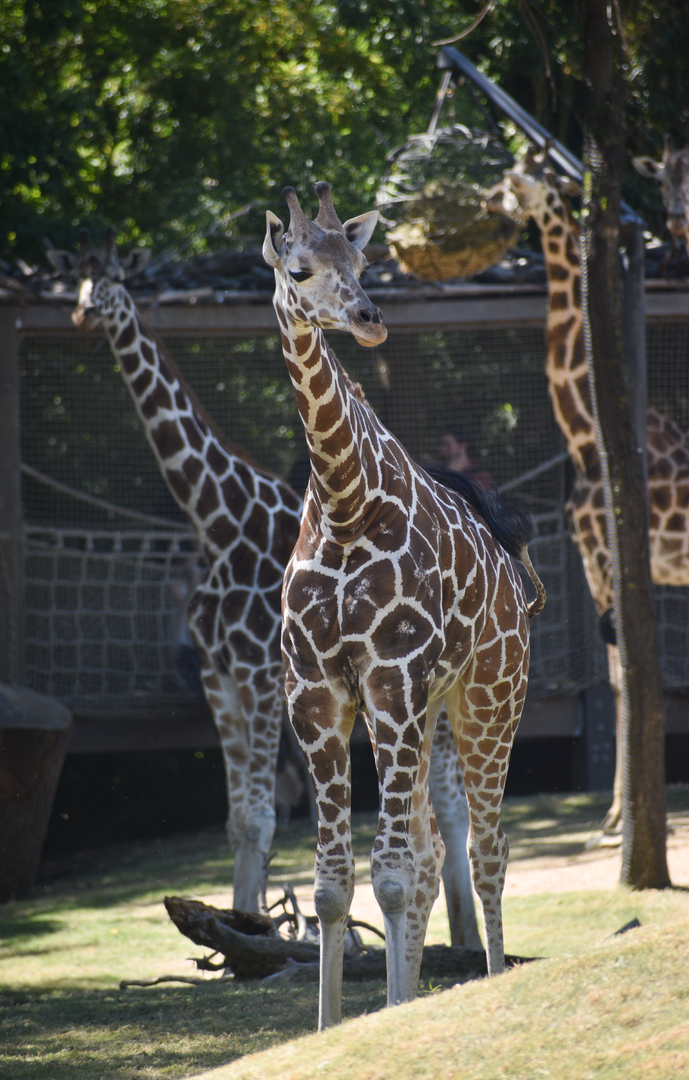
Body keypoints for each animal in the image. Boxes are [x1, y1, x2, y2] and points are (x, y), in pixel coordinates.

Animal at [47, 229, 302, 911]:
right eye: (76, 279)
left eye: (115, 278)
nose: (82, 314)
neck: (221, 528)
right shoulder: (218, 676)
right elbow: (239, 820)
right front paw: (244, 925)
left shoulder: (262, 674)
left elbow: (263, 816)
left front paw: (257, 926)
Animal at [263, 181, 545, 1028]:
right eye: (297, 268)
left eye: (360, 262)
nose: (367, 317)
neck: (345, 505)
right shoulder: (317, 692)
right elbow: (332, 885)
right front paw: (333, 1026)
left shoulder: (391, 678)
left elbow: (387, 875)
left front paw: (391, 1010)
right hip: (432, 712)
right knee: (429, 858)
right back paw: (416, 991)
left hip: (488, 697)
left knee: (484, 852)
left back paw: (490, 976)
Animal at [486, 147, 689, 831]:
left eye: (519, 181)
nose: (492, 204)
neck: (583, 439)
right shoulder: (594, 563)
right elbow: (623, 676)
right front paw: (619, 814)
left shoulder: (610, 559)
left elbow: (626, 677)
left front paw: (623, 816)